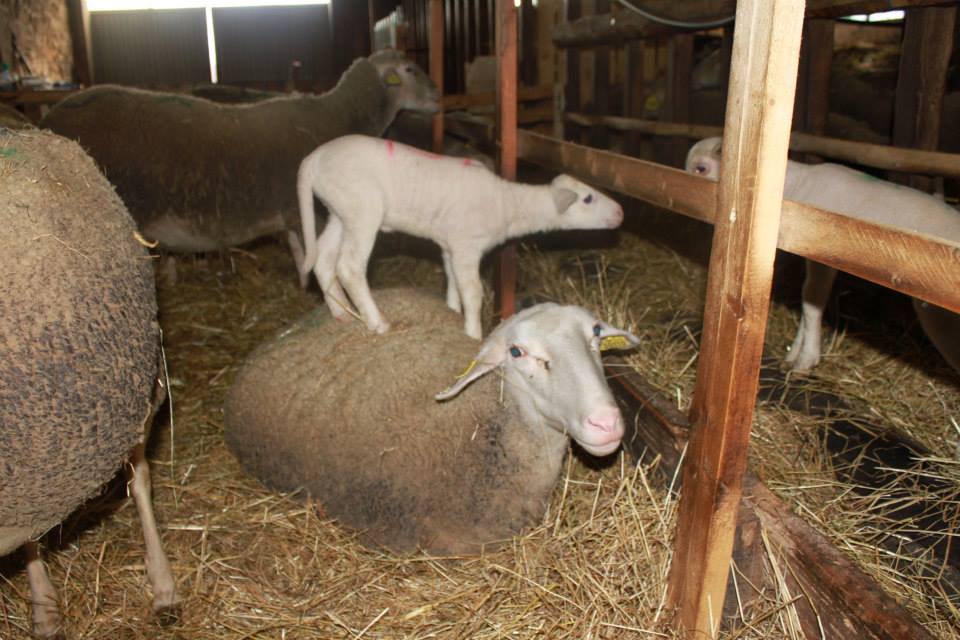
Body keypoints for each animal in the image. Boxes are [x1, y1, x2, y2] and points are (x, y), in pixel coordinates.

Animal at [39, 50, 438, 265]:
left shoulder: (289, 218)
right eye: (409, 69)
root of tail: (49, 117)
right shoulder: (308, 212)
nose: (438, 97)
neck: (340, 116)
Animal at [297, 134, 625, 340]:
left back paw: (341, 314)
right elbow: (474, 291)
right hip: (361, 207)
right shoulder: (467, 245)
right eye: (588, 199)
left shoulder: (450, 246)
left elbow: (453, 281)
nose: (621, 212)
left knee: (323, 260)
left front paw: (453, 311)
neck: (506, 203)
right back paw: (377, 322)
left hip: (338, 209)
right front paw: (473, 333)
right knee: (349, 266)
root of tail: (312, 160)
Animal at [686, 136, 960, 373]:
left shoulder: (821, 252)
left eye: (701, 168)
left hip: (939, 316)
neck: (794, 186)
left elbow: (812, 298)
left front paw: (806, 359)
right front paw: (795, 353)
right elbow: (809, 297)